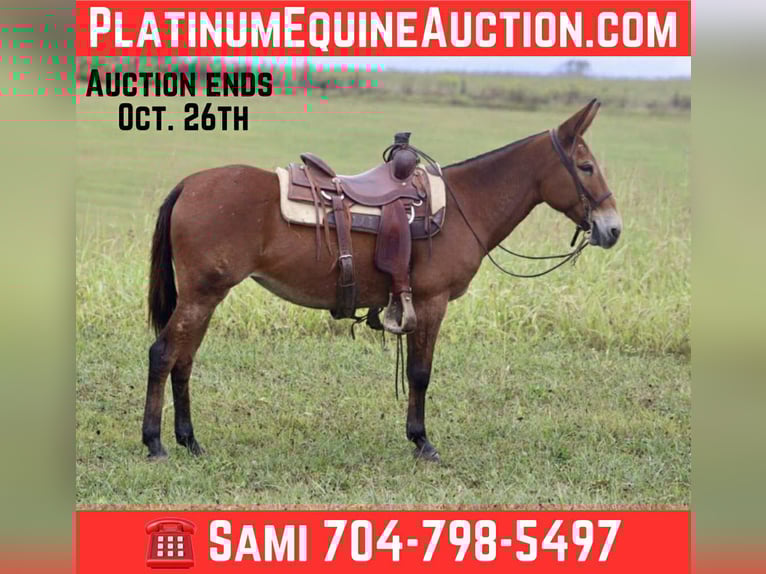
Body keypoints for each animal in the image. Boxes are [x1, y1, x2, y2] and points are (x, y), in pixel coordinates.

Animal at [142, 99, 623, 462]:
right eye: (584, 166)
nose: (613, 228)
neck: (465, 204)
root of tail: (189, 185)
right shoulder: (430, 301)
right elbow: (420, 373)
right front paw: (422, 441)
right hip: (202, 295)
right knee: (164, 354)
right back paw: (155, 443)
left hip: (206, 296)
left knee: (184, 360)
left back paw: (189, 440)